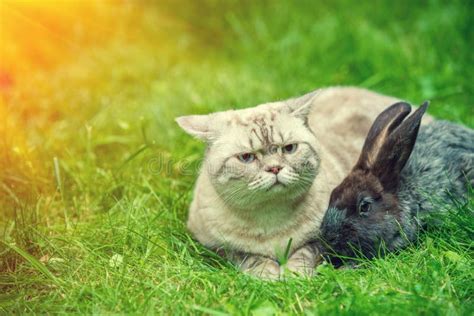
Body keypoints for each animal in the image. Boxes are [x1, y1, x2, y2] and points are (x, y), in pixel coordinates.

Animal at [176, 86, 432, 278]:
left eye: (289, 148)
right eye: (247, 157)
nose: (274, 168)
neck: (271, 220)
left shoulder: (326, 237)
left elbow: (305, 253)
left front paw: (293, 275)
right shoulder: (215, 246)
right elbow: (247, 257)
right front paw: (268, 274)